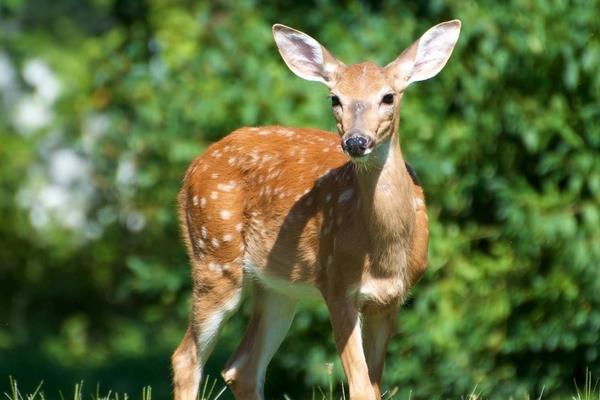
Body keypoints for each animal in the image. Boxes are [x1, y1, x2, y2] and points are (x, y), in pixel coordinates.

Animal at [171, 19, 462, 400]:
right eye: (335, 98)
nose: (356, 141)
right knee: (186, 358)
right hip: (214, 257)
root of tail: (191, 169)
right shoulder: (336, 283)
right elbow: (361, 388)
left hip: (279, 286)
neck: (383, 255)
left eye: (388, 96)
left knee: (241, 367)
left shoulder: (390, 300)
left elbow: (375, 386)